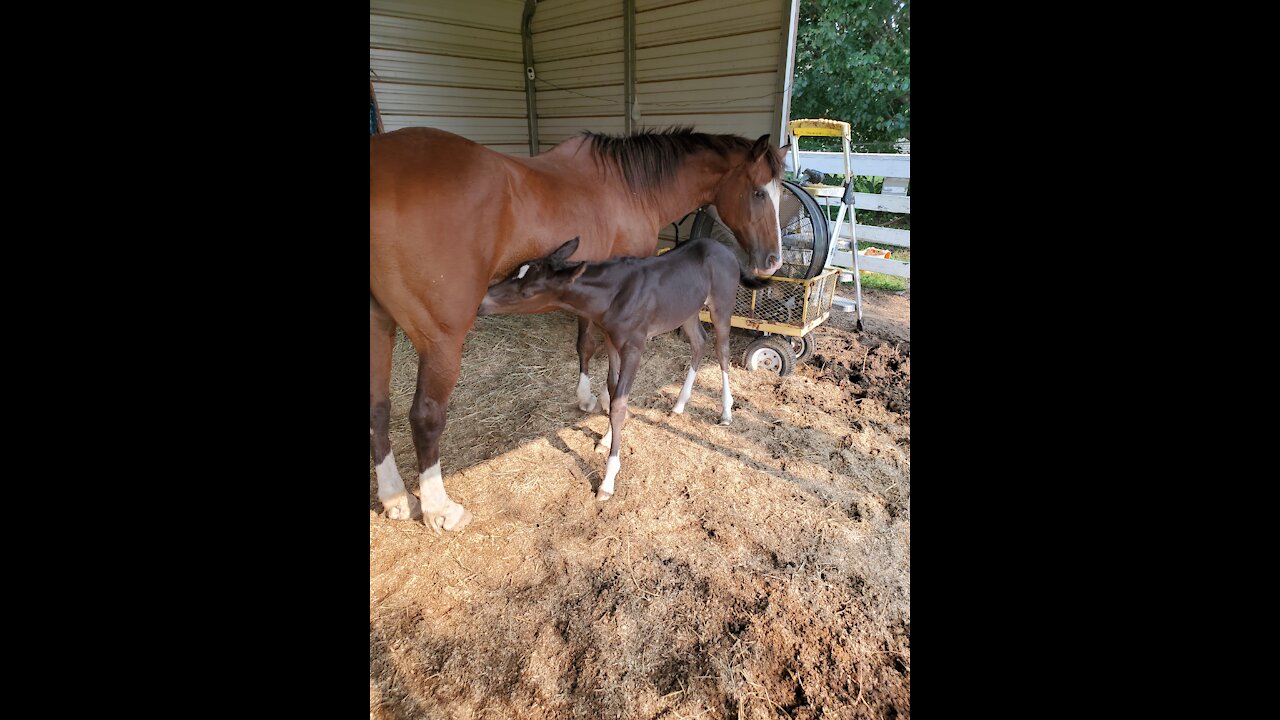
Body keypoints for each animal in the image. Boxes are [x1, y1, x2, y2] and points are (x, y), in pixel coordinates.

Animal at [478, 235, 757, 499]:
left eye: (528, 292)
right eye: (514, 271)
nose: (480, 303)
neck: (613, 296)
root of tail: (728, 251)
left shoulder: (634, 346)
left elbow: (619, 404)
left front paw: (608, 480)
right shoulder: (611, 339)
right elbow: (612, 389)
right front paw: (605, 439)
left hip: (722, 306)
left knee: (722, 350)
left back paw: (726, 412)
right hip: (687, 310)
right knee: (699, 341)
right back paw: (679, 404)